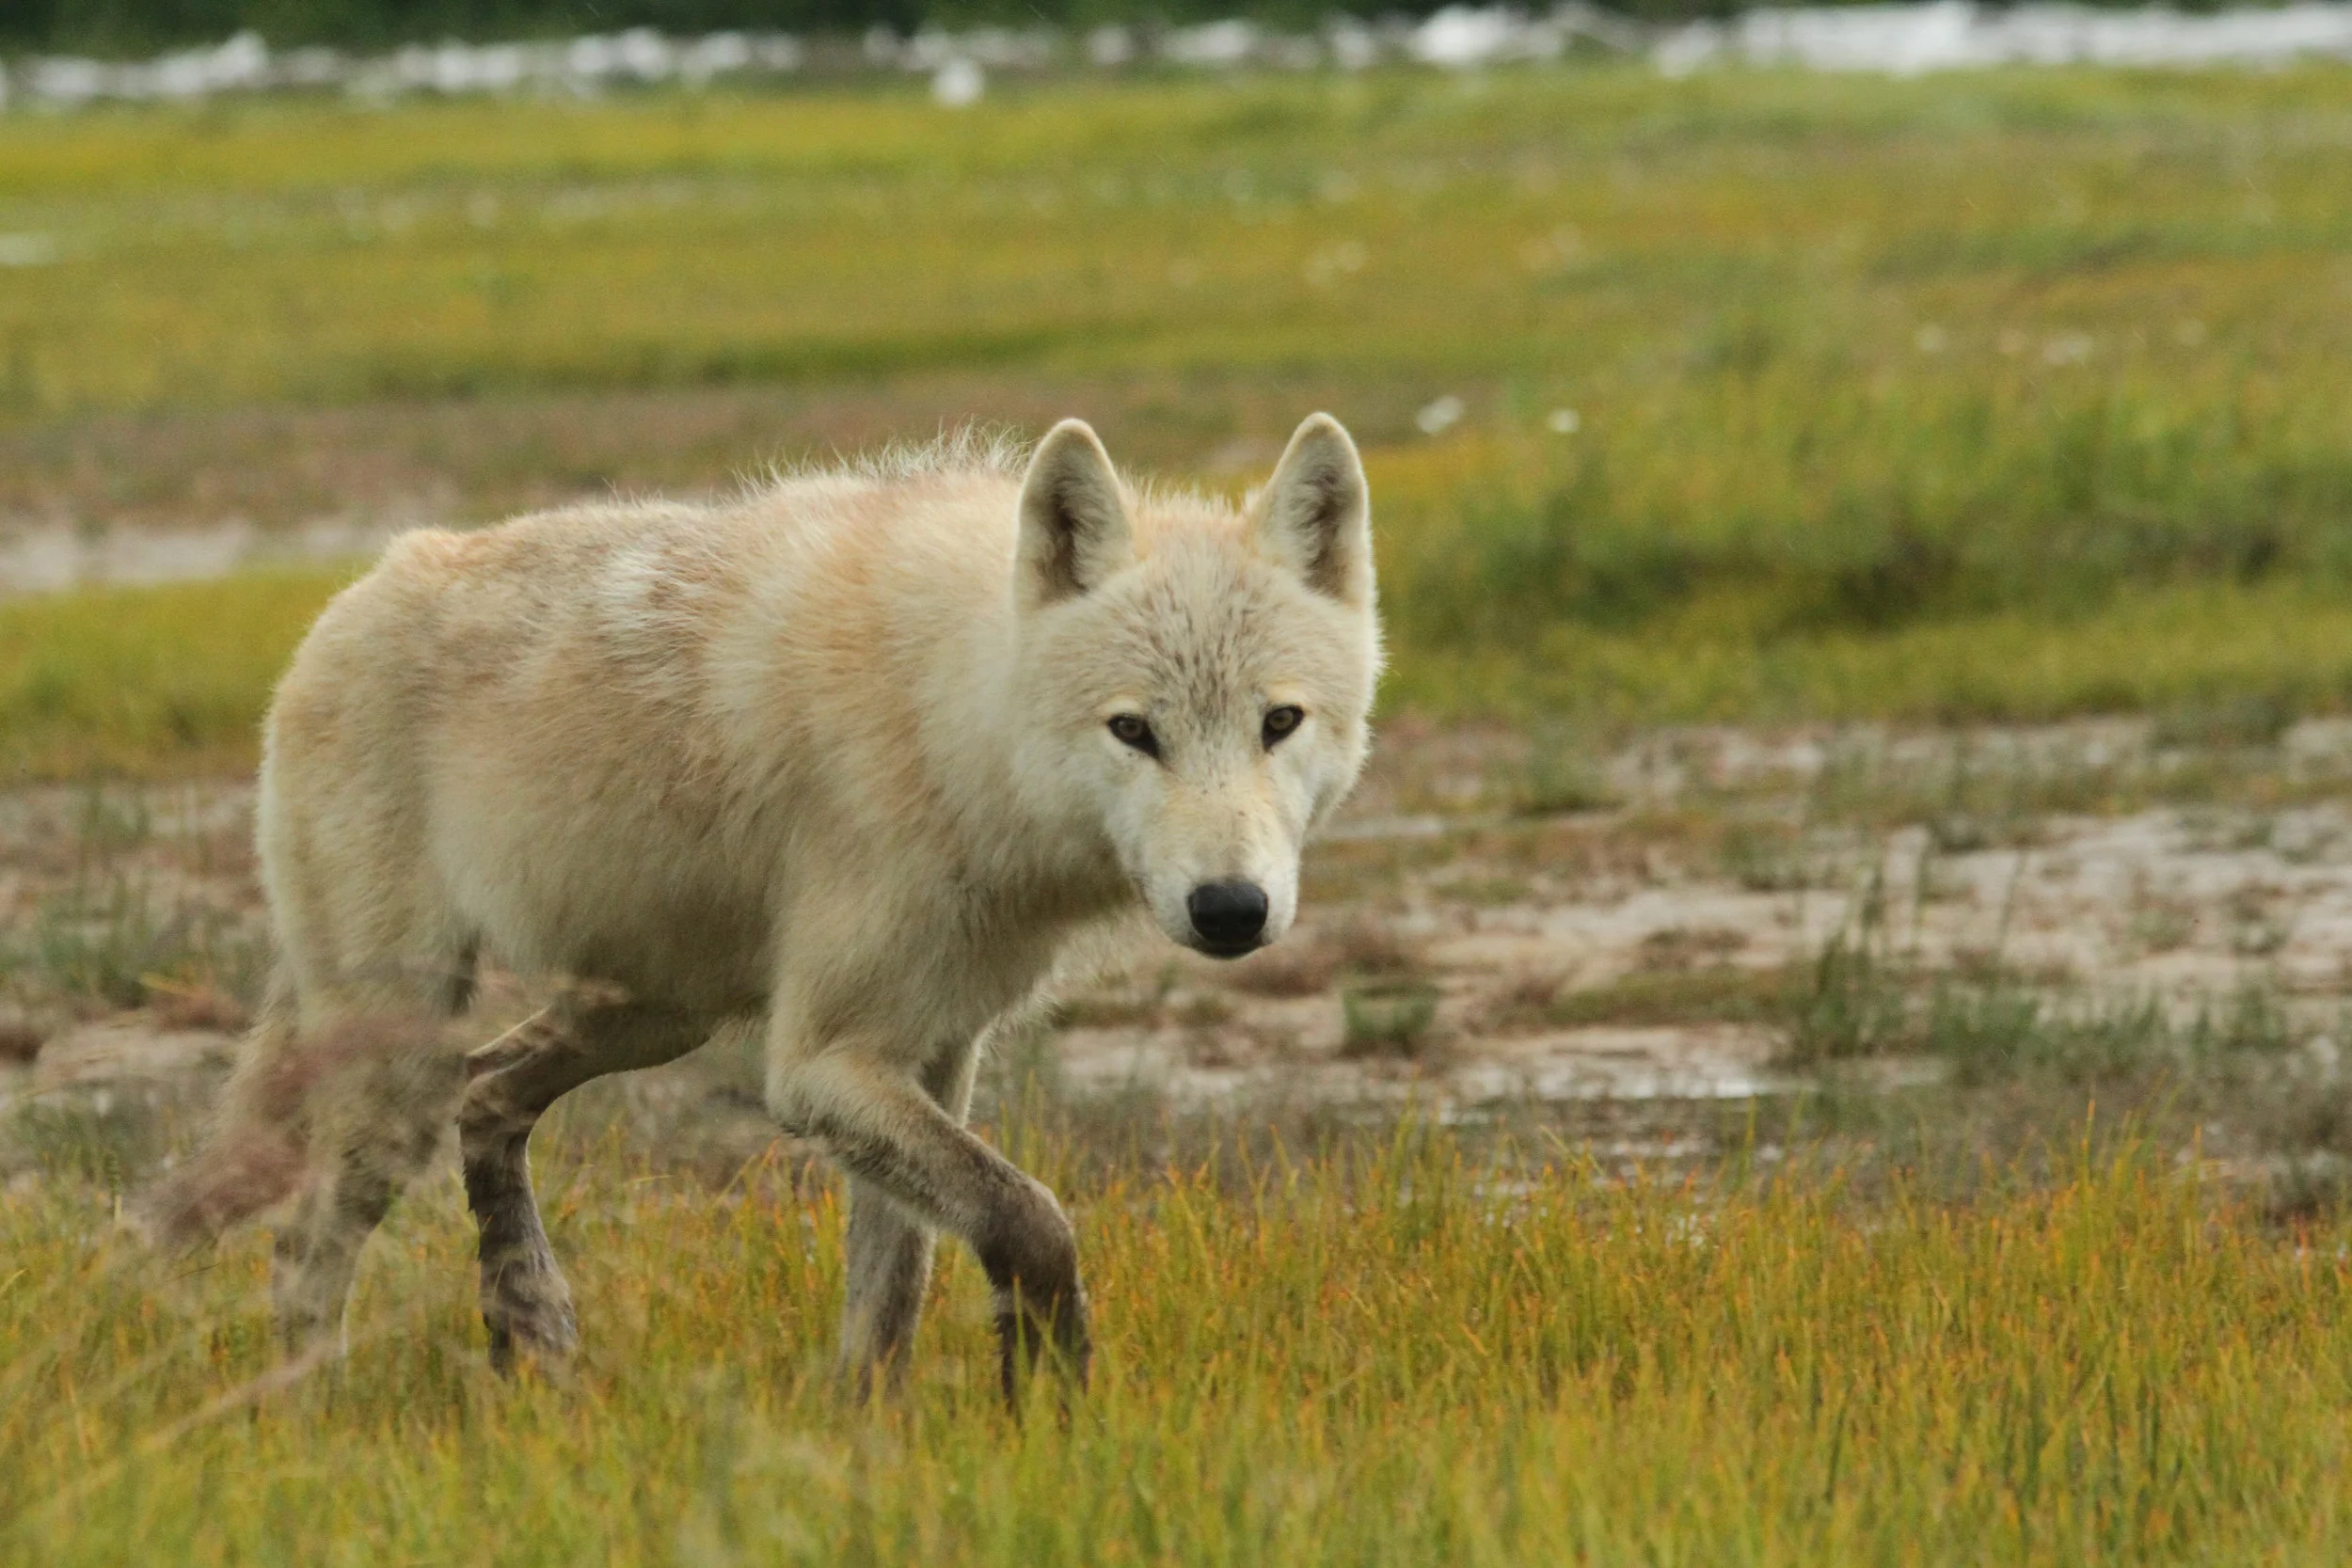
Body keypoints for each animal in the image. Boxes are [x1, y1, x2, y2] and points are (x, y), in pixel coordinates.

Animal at [163, 414, 1382, 1401]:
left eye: (1278, 722)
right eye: (1134, 730)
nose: (1230, 908)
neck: (956, 720)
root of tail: (354, 593)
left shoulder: (933, 1053)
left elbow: (896, 1293)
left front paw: (871, 1447)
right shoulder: (819, 1067)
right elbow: (1030, 1219)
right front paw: (1049, 1400)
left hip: (649, 1016)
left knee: (489, 1091)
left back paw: (532, 1322)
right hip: (402, 1069)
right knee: (302, 1252)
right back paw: (306, 1429)